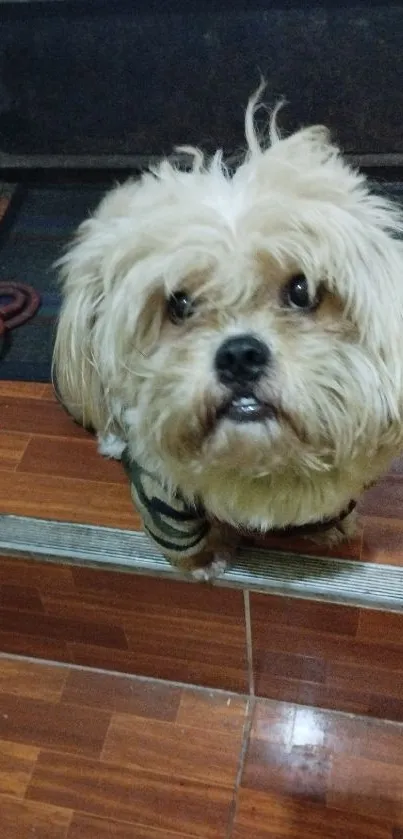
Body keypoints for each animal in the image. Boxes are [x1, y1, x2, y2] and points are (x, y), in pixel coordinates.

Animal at [52, 88, 403, 580]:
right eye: (178, 303)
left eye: (302, 291)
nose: (239, 355)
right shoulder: (163, 498)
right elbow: (186, 537)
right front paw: (205, 563)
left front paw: (331, 528)